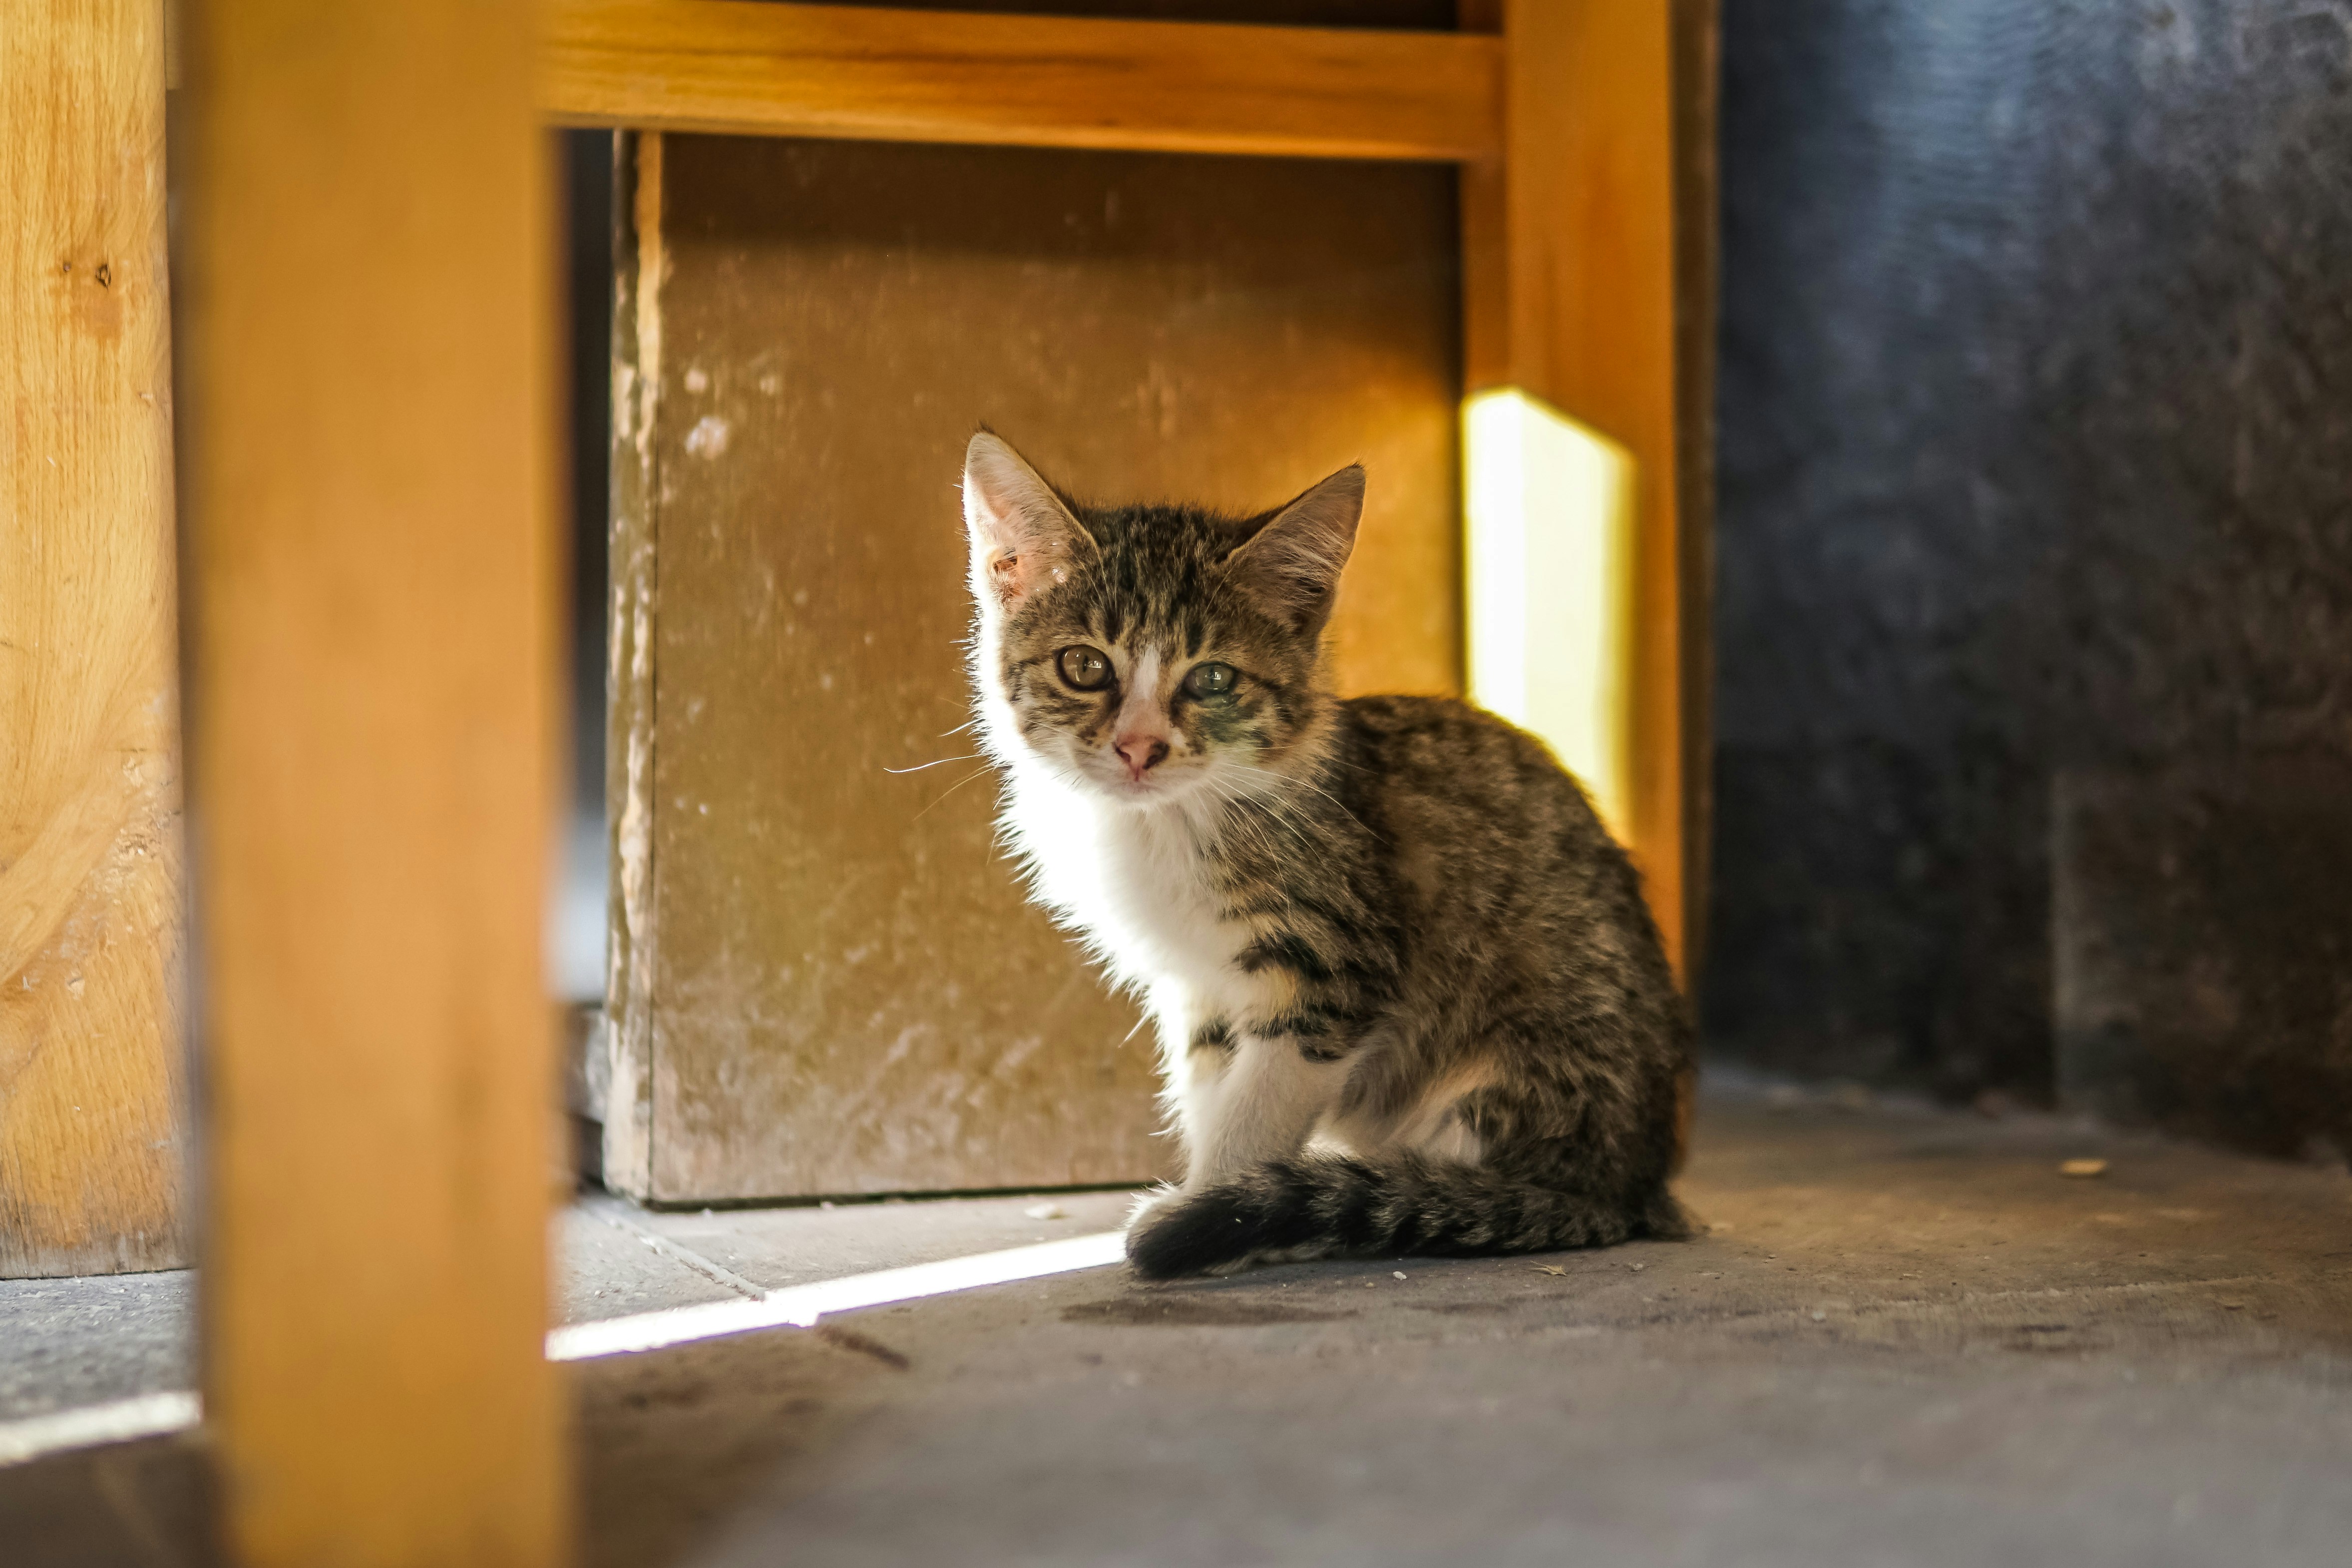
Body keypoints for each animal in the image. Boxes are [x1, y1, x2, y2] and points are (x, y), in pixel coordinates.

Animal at [959, 425, 1693, 1278]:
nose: (1139, 747)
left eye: (1212, 678)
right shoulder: (1198, 987)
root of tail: (1627, 1186)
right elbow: (1212, 1088)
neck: (1161, 824)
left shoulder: (1335, 960)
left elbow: (1257, 1108)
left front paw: (1217, 1209)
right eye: (1083, 666)